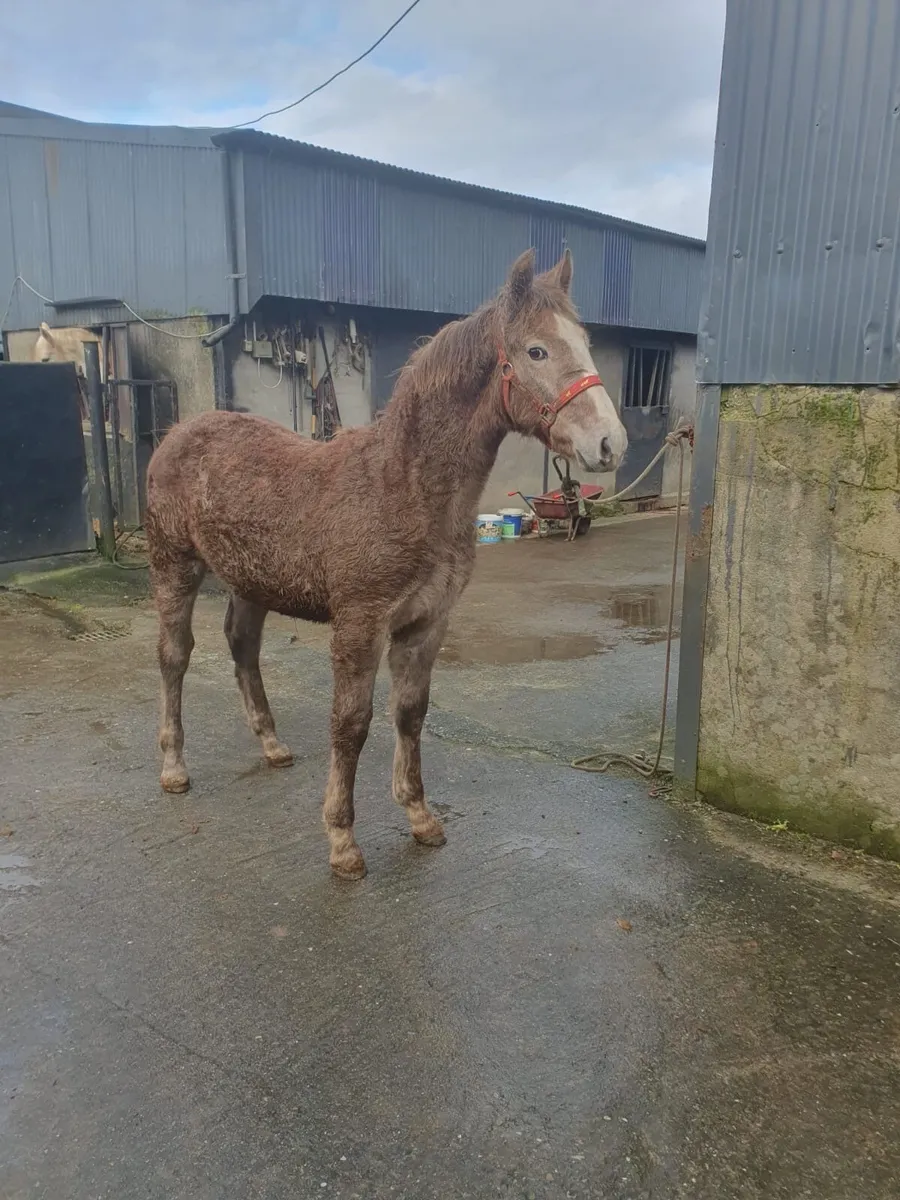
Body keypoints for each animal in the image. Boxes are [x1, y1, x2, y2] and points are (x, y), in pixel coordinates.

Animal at [144, 249, 627, 880]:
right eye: (536, 351)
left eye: (585, 342)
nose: (610, 443)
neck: (404, 488)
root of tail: (179, 431)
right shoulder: (360, 625)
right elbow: (351, 724)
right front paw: (342, 840)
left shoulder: (426, 623)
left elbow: (410, 713)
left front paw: (420, 817)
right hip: (174, 565)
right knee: (174, 656)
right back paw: (174, 767)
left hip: (251, 580)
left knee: (242, 646)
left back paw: (273, 746)